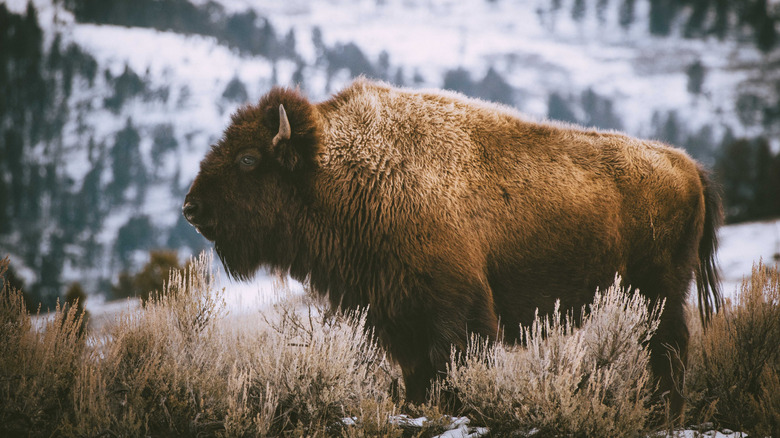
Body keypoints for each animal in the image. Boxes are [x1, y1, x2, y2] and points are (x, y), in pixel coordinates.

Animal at [183, 78, 721, 419]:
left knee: (668, 350)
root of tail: (687, 165)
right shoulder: (395, 316)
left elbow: (452, 364)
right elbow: (418, 375)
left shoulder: (454, 310)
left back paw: (662, 413)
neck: (346, 168)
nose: (191, 207)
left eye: (248, 158)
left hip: (660, 295)